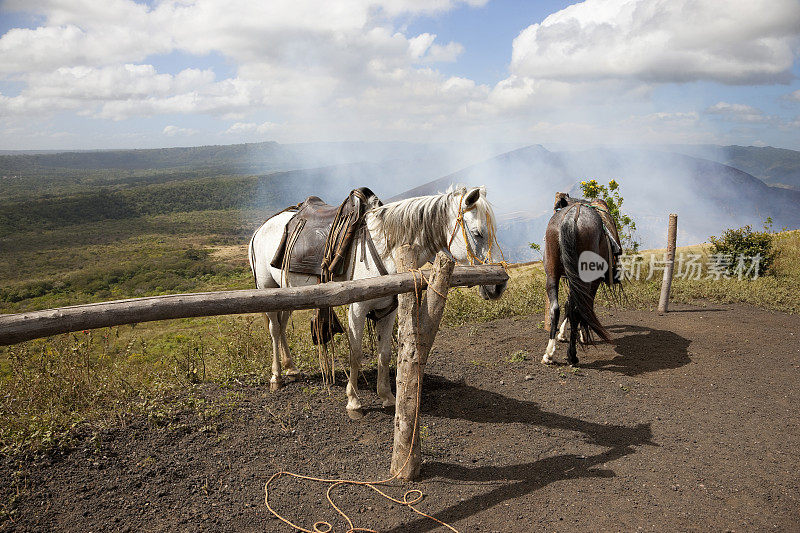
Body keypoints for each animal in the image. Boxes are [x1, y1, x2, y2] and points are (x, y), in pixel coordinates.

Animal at [248, 187, 506, 420]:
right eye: (478, 233)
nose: (498, 286)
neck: (385, 249)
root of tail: (261, 228)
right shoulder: (357, 309)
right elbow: (355, 354)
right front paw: (353, 402)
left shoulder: (388, 310)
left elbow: (384, 354)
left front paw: (387, 397)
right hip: (267, 289)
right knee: (274, 330)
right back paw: (277, 377)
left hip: (289, 292)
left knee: (282, 327)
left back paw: (291, 368)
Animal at [540, 192, 620, 366]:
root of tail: (572, 216)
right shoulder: (593, 281)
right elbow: (584, 306)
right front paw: (582, 335)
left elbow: (568, 303)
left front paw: (562, 334)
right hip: (586, 278)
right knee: (578, 308)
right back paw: (572, 355)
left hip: (552, 275)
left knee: (555, 308)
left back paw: (549, 354)